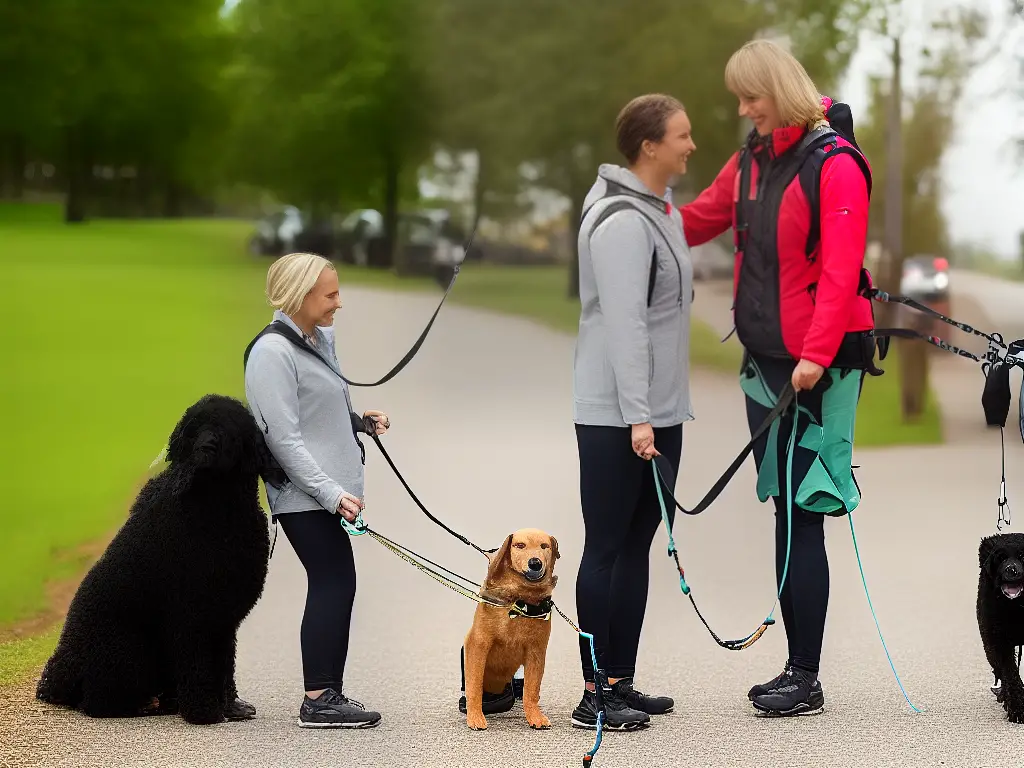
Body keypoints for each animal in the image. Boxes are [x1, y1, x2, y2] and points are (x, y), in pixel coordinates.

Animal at [37, 393, 284, 724]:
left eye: (226, 429)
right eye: (195, 428)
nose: (206, 447)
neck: (216, 505)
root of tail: (62, 674)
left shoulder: (222, 615)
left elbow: (224, 663)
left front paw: (230, 707)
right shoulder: (191, 613)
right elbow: (200, 666)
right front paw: (204, 712)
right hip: (130, 650)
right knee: (96, 703)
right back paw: (143, 705)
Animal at [464, 528, 561, 733]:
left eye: (544, 546)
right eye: (519, 545)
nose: (535, 563)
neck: (519, 601)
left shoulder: (536, 651)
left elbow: (531, 690)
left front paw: (535, 716)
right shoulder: (478, 644)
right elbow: (474, 685)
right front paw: (475, 716)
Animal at [974, 532, 1024, 724]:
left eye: (1022, 556)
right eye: (1000, 558)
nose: (1012, 570)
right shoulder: (998, 641)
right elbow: (1010, 674)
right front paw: (1017, 708)